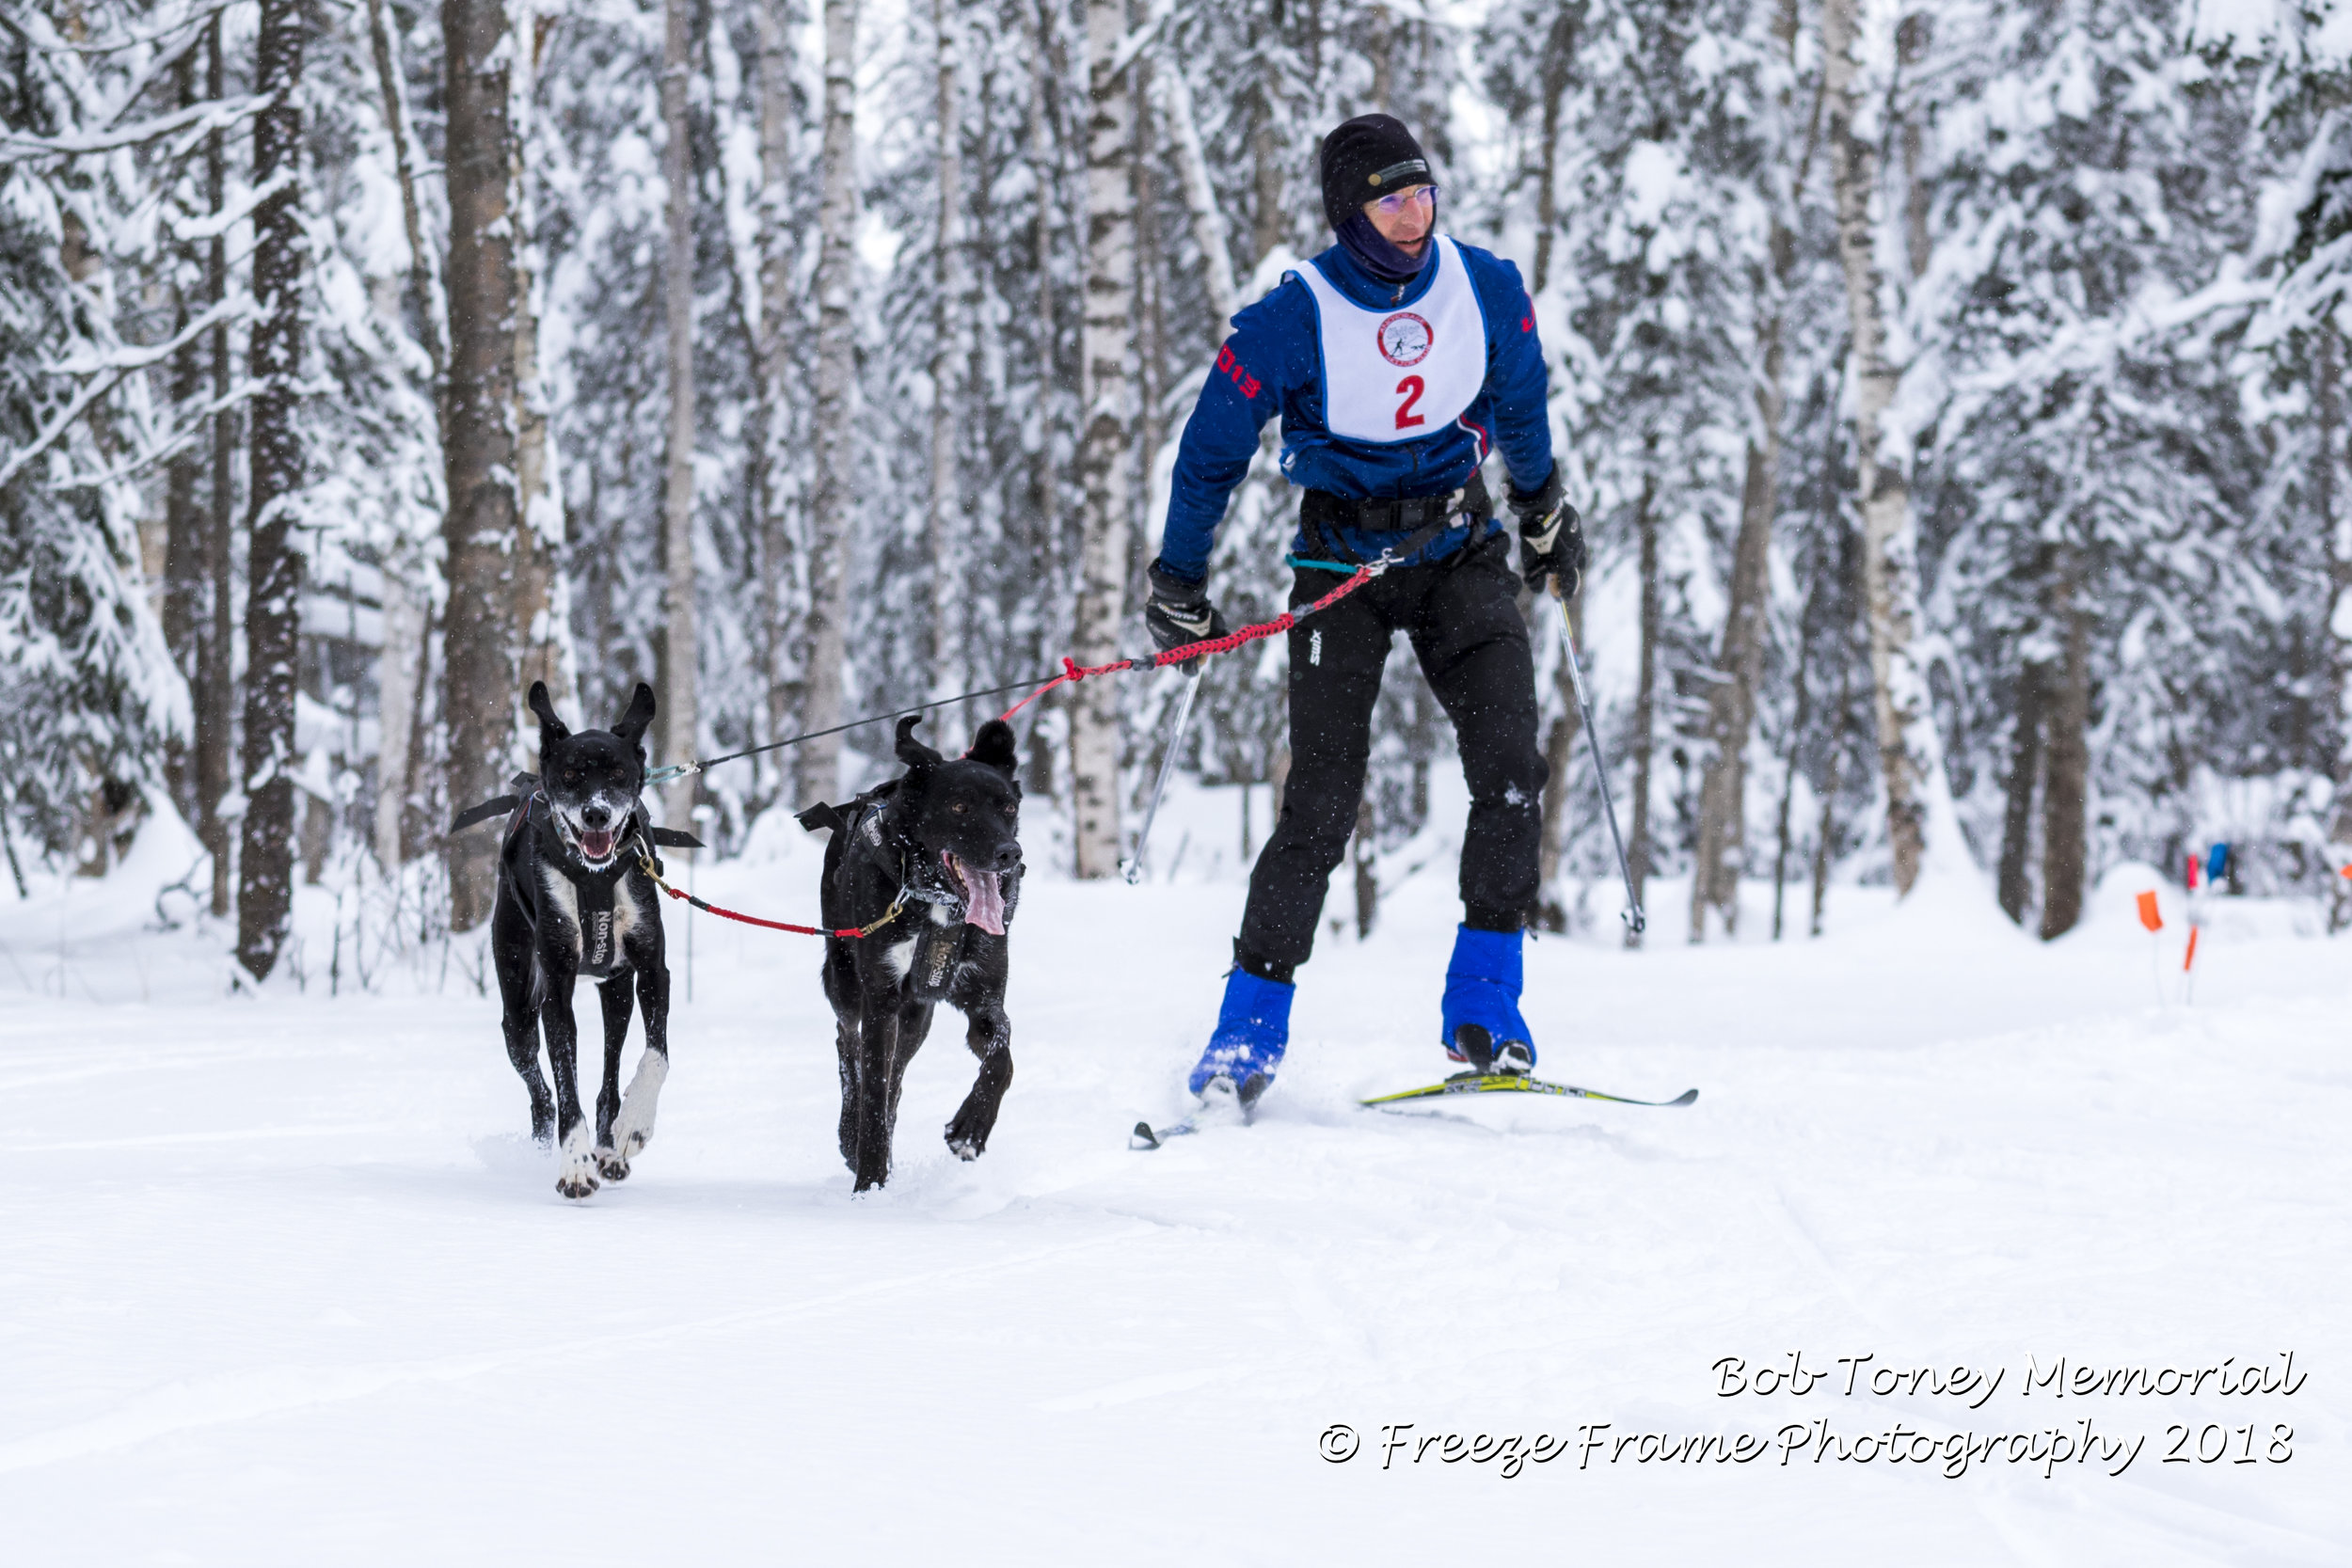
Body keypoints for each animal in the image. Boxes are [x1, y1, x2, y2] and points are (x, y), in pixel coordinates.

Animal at [463, 676, 691, 1203]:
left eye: (619, 773)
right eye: (569, 773)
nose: (596, 814)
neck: (595, 877)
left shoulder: (653, 971)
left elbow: (656, 1057)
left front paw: (633, 1127)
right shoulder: (557, 987)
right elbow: (566, 1086)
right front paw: (574, 1166)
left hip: (617, 993)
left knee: (609, 1076)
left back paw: (611, 1147)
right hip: (518, 1011)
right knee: (541, 1094)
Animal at [800, 719, 1021, 1194]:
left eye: (1009, 807)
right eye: (959, 806)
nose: (1010, 853)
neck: (937, 904)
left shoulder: (984, 1001)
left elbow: (1002, 1059)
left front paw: (971, 1128)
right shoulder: (881, 1000)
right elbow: (872, 1089)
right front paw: (868, 1184)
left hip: (917, 1017)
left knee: (897, 1075)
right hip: (847, 984)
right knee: (849, 1046)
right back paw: (850, 1136)